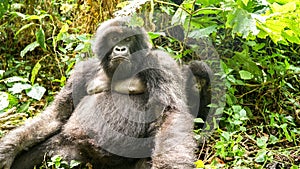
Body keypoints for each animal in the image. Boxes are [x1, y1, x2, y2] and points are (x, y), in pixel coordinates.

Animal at [0, 17, 197, 169]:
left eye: (128, 40)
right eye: (115, 38)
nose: (120, 49)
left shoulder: (160, 63)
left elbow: (169, 114)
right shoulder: (82, 71)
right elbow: (57, 115)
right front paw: (9, 148)